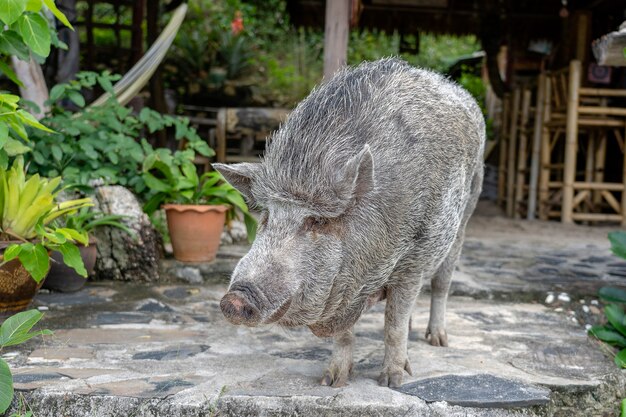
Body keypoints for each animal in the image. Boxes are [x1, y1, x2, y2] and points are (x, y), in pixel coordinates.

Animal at [212, 57, 486, 388]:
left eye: (316, 221)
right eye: (266, 216)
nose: (235, 299)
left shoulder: (413, 263)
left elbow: (393, 325)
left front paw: (392, 382)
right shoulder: (342, 288)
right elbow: (346, 334)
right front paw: (331, 381)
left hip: (465, 217)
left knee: (441, 284)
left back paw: (438, 341)